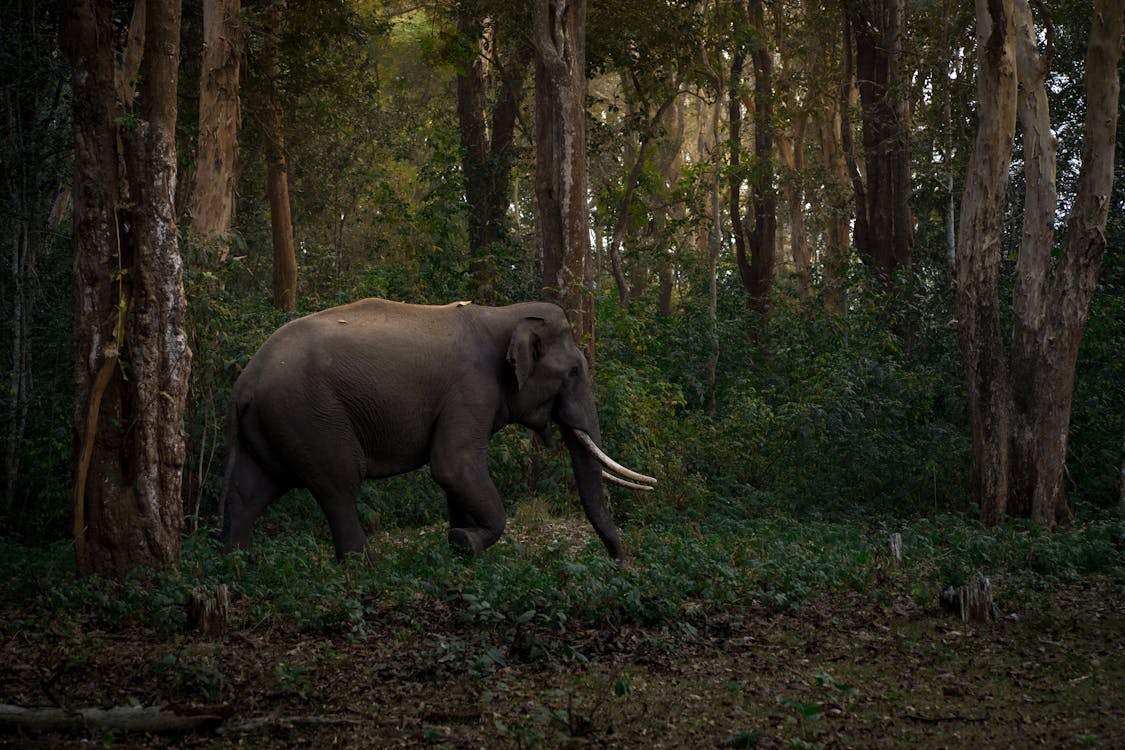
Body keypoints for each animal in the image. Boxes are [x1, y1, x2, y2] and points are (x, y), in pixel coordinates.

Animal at [216, 299, 657, 562]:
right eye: (574, 372)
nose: (620, 562)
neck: (503, 314)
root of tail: (243, 386)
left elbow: (454, 477)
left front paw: (459, 546)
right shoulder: (471, 388)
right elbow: (453, 465)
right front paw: (465, 541)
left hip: (273, 425)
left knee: (249, 492)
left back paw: (235, 564)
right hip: (310, 415)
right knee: (338, 485)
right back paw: (362, 568)